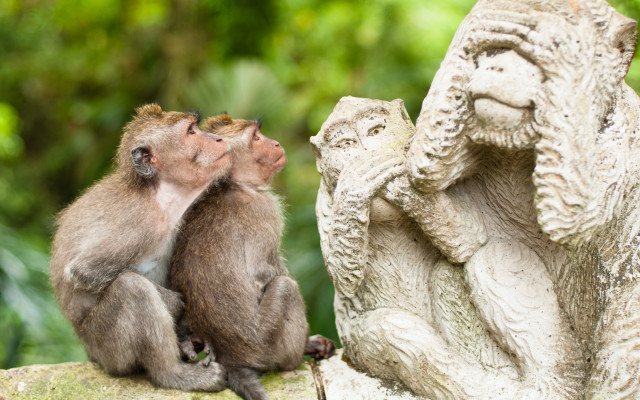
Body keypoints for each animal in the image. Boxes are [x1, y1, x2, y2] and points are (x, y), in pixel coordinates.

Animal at [49, 104, 229, 391]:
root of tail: (91, 353)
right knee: (131, 289)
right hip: (107, 349)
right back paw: (174, 374)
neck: (159, 193)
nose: (218, 139)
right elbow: (83, 270)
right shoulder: (140, 222)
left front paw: (187, 335)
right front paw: (176, 305)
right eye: (191, 131)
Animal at [170, 113, 334, 400]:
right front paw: (310, 341)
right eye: (256, 137)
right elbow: (264, 271)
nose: (276, 143)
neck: (234, 184)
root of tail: (232, 358)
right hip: (266, 343)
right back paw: (298, 353)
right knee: (285, 287)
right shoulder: (264, 210)